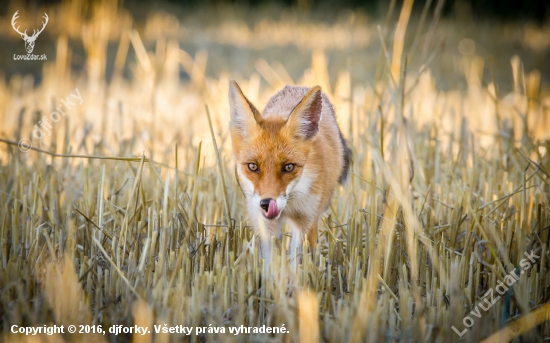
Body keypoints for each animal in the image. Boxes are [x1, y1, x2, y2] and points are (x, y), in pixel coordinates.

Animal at [230, 81, 354, 264]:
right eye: (252, 167)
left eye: (288, 167)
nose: (266, 204)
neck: (290, 203)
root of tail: (298, 86)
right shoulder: (264, 223)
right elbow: (270, 261)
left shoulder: (307, 219)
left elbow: (301, 262)